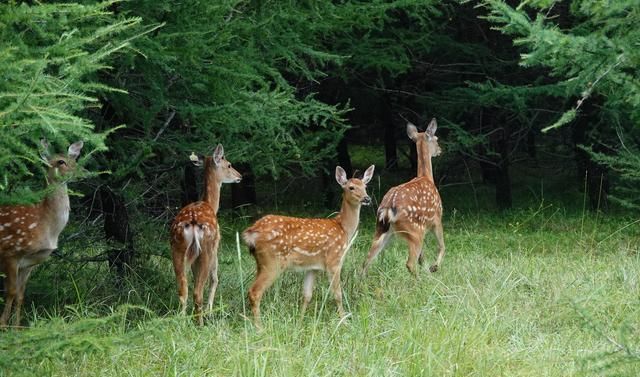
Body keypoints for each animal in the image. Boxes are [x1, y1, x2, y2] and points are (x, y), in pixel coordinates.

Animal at [0, 140, 84, 324]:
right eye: (61, 161)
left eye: (74, 159)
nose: (82, 173)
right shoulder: (11, 252)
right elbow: (10, 292)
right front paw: (3, 324)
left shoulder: (29, 263)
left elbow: (20, 295)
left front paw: (16, 327)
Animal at [169, 142, 241, 324]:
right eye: (229, 164)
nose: (240, 176)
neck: (211, 205)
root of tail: (193, 223)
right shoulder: (216, 246)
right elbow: (215, 279)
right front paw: (210, 310)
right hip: (207, 249)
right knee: (197, 291)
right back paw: (200, 322)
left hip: (177, 248)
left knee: (183, 288)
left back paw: (182, 320)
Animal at [244, 164, 376, 326]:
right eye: (351, 187)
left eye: (365, 186)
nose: (367, 198)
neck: (343, 228)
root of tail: (251, 232)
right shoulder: (334, 260)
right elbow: (337, 293)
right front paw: (344, 321)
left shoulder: (313, 267)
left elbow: (307, 295)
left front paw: (299, 322)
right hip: (273, 261)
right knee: (255, 292)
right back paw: (259, 326)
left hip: (261, 263)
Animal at [360, 117, 444, 276]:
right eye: (436, 139)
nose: (440, 150)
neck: (427, 177)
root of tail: (387, 209)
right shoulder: (436, 217)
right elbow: (442, 246)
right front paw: (434, 267)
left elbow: (422, 257)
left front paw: (428, 269)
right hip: (414, 230)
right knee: (410, 263)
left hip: (381, 229)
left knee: (366, 260)